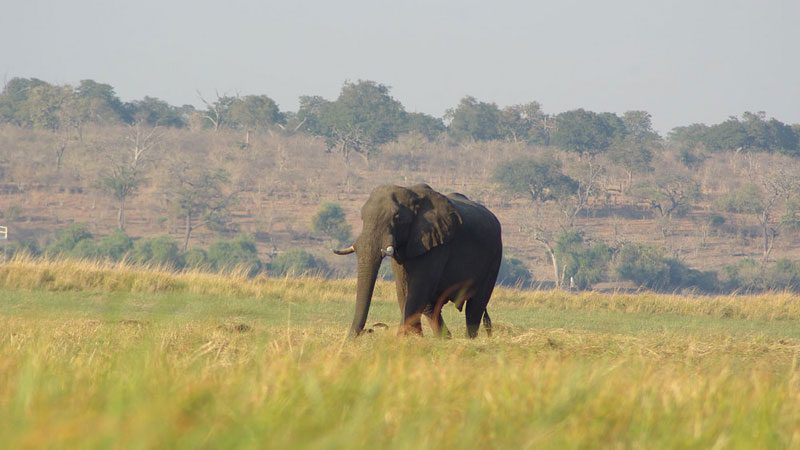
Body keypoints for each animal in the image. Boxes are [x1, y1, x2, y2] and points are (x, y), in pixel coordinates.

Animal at [333, 183, 502, 338]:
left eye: (397, 218)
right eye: (362, 217)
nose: (368, 331)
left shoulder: (437, 243)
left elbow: (418, 287)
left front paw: (403, 338)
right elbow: (403, 289)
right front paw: (414, 338)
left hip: (494, 257)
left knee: (475, 306)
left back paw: (468, 339)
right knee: (434, 304)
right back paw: (445, 338)